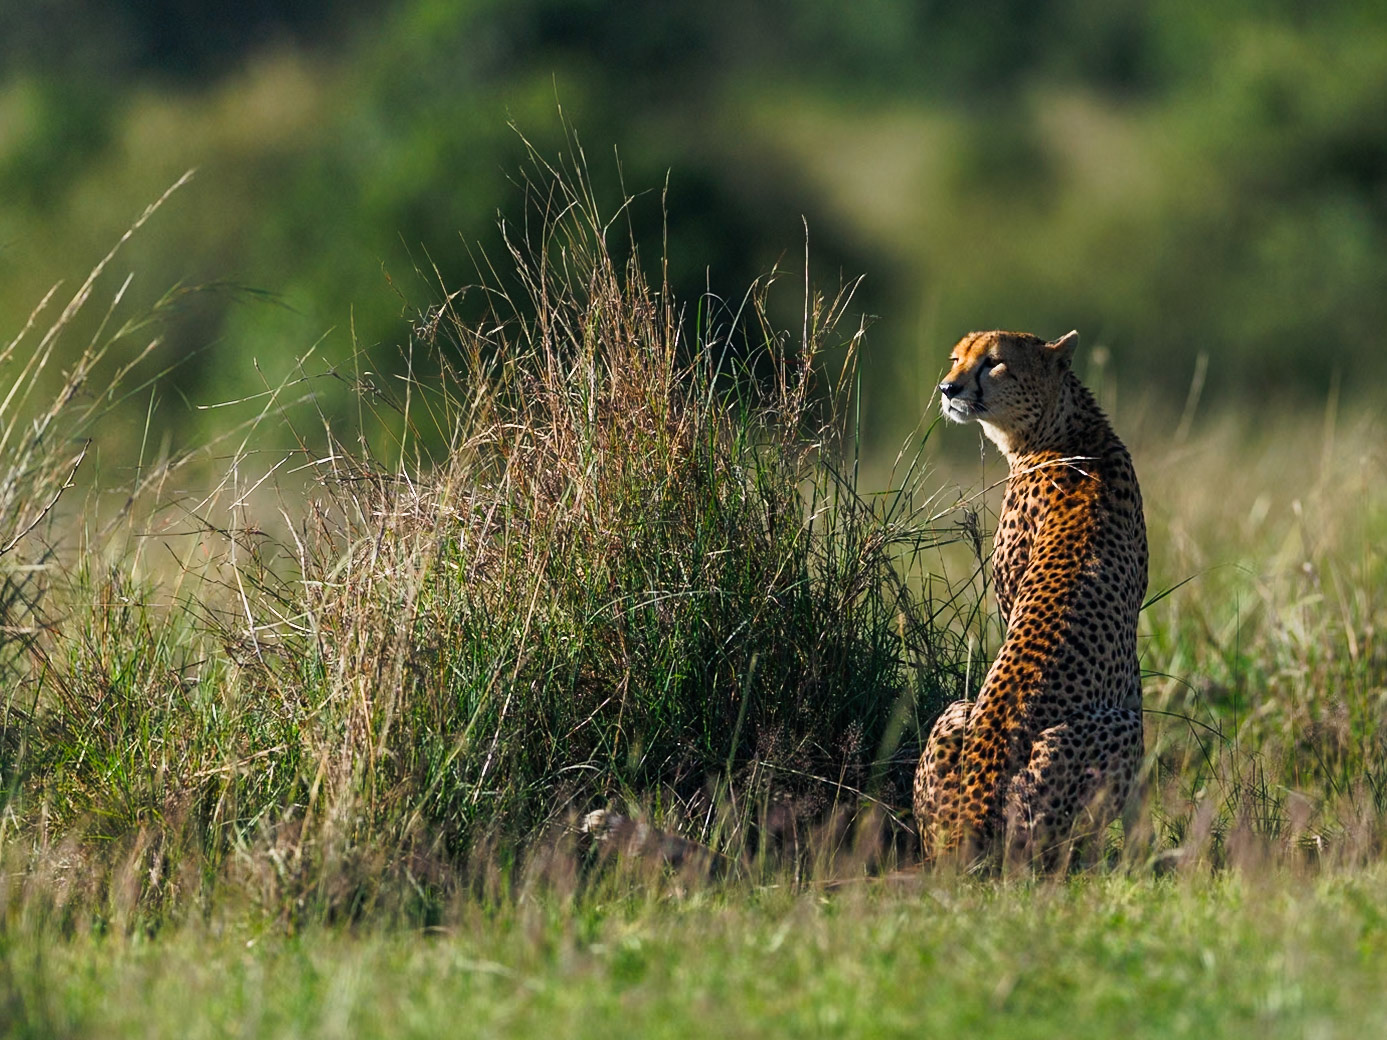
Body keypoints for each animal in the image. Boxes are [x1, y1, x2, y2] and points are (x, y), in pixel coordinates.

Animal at [913, 329, 1148, 869]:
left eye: (994, 363)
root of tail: (968, 820)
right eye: (956, 358)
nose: (947, 388)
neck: (1065, 433)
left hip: (963, 714)